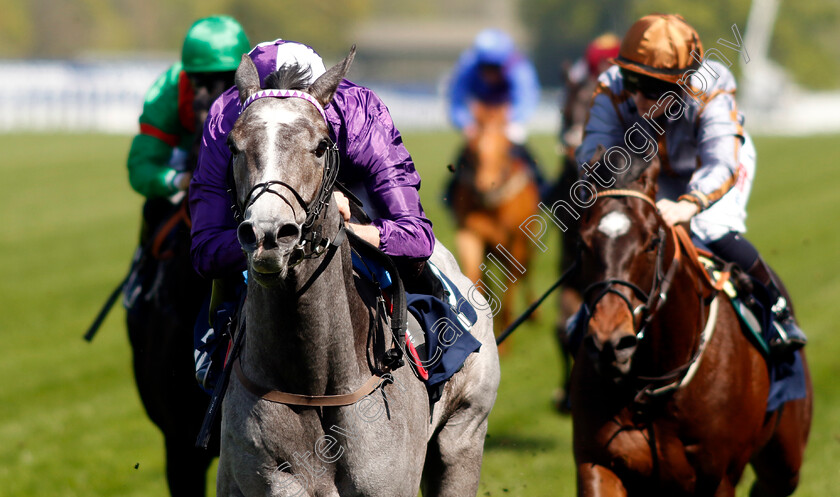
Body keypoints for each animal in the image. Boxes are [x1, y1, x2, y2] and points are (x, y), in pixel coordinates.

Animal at [450, 101, 540, 336]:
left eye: (505, 149)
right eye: (473, 149)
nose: (485, 188)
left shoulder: (516, 241)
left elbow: (509, 294)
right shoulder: (469, 234)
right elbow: (474, 278)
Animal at [568, 149, 812, 494]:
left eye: (651, 243)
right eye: (582, 243)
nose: (610, 343)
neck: (652, 384)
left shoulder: (718, 476)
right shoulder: (599, 462)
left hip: (785, 455)